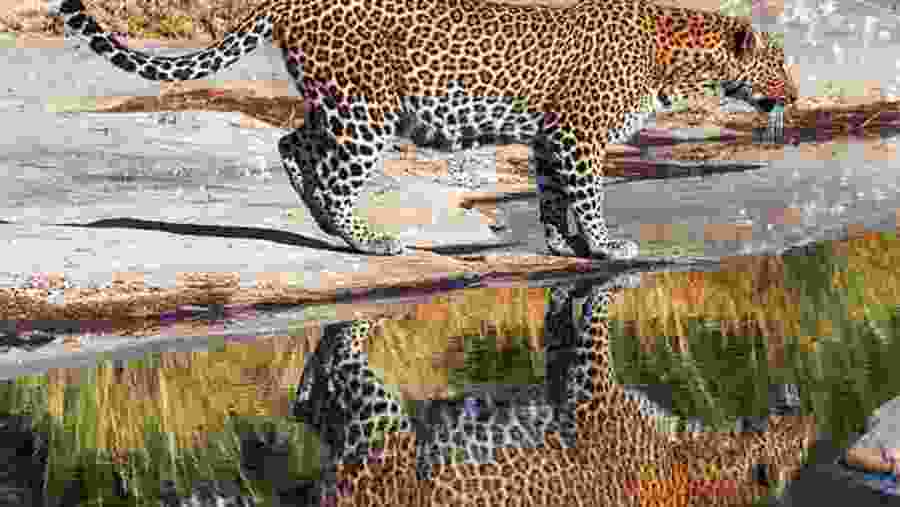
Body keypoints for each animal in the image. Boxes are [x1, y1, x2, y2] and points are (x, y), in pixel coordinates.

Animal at [48, 0, 796, 259]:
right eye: (782, 63)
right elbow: (586, 195)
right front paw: (607, 244)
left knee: (292, 143)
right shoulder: (580, 134)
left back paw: (322, 221)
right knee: (328, 167)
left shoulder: (550, 137)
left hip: (342, 103)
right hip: (366, 112)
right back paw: (366, 238)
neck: (682, 59)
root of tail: (289, 1)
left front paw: (564, 245)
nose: (792, 96)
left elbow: (553, 194)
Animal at [291, 273, 816, 507]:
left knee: (320, 394)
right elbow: (592, 320)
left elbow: (566, 324)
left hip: (366, 430)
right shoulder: (591, 388)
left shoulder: (577, 383)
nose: (812, 415)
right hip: (385, 429)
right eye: (803, 447)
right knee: (341, 357)